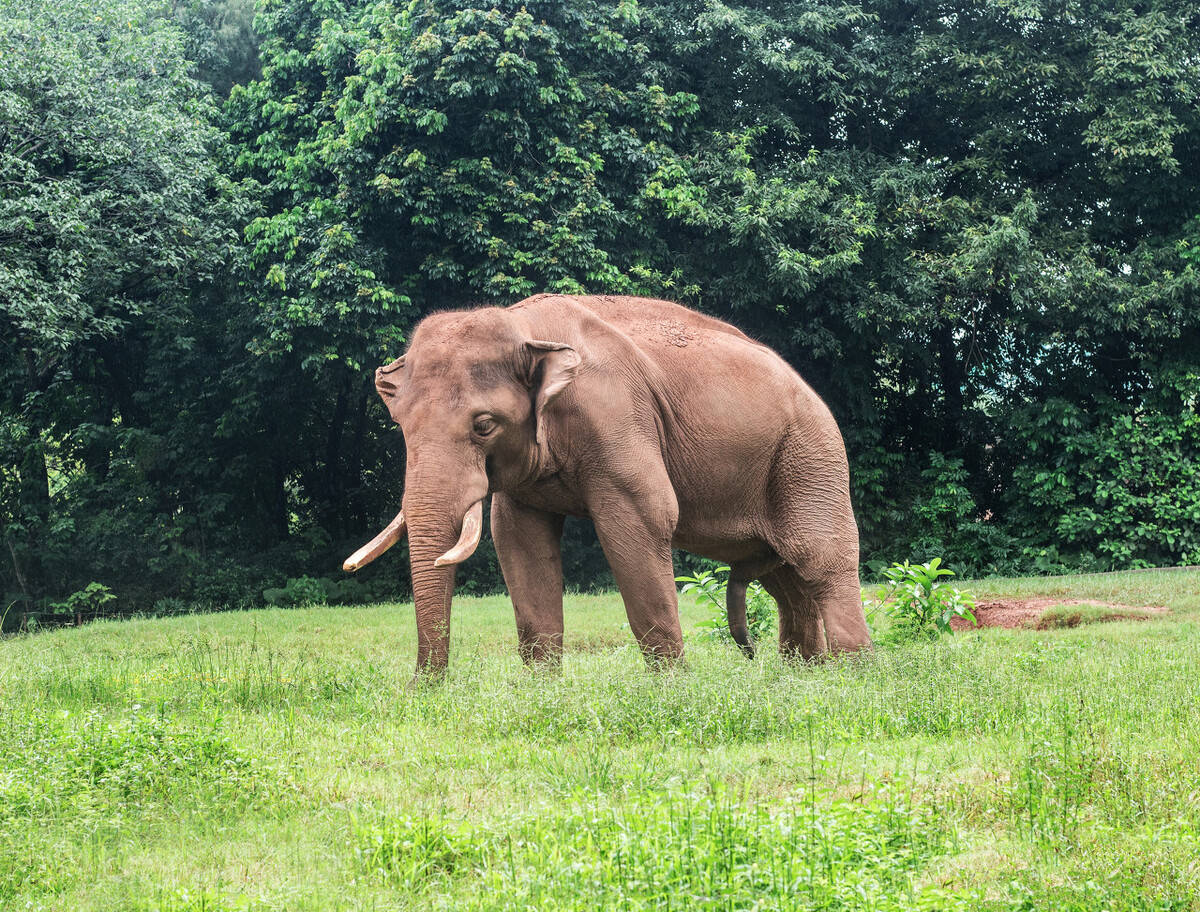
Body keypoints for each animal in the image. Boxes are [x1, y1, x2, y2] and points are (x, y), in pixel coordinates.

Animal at [343, 294, 872, 676]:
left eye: (484, 425)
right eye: (400, 425)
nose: (423, 688)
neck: (526, 329)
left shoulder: (617, 417)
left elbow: (642, 519)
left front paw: (673, 687)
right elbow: (518, 537)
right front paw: (541, 689)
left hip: (810, 455)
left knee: (821, 559)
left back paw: (852, 675)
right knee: (785, 578)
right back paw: (804, 675)